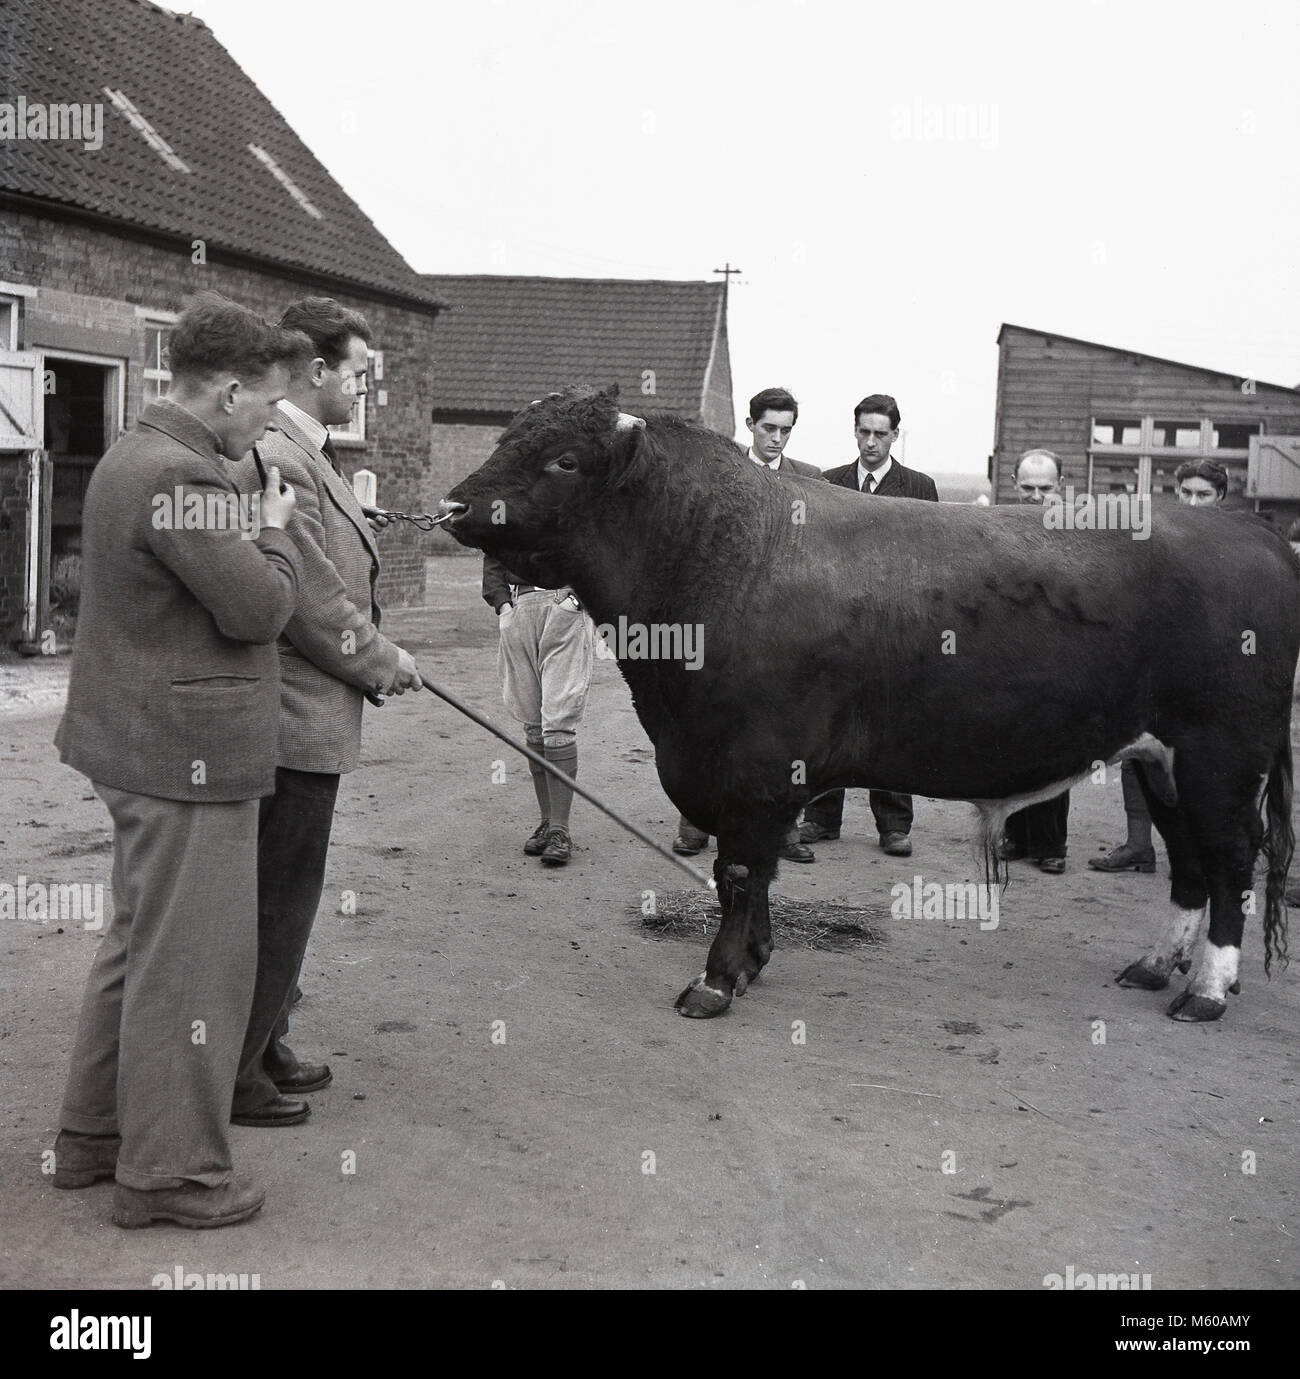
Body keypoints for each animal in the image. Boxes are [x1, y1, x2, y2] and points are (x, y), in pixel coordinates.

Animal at [438, 388, 1300, 1025]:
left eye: (563, 458)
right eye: (506, 434)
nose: (453, 506)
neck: (720, 554)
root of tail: (1250, 530)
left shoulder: (751, 765)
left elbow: (740, 870)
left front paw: (715, 980)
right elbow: (748, 875)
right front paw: (752, 962)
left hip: (1221, 755)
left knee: (1229, 858)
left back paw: (1206, 991)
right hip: (1160, 758)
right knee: (1190, 861)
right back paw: (1154, 966)